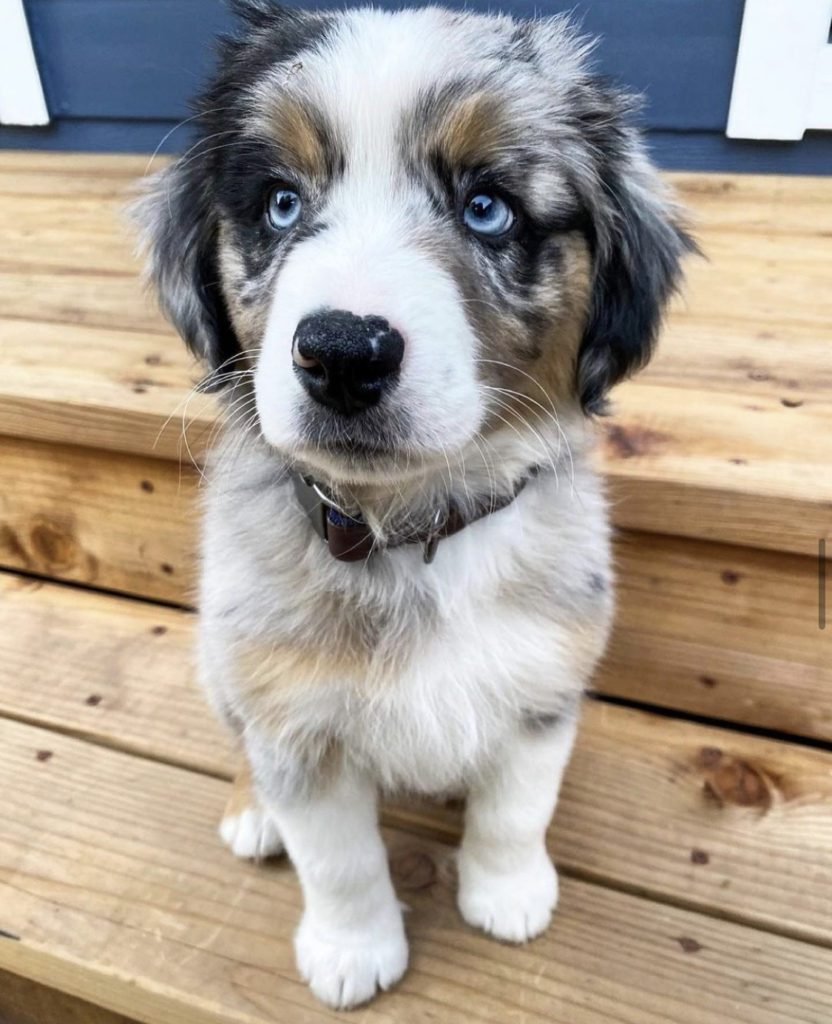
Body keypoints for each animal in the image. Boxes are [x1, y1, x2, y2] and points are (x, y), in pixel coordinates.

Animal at [136, 0, 692, 1007]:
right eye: (281, 203)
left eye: (487, 206)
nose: (342, 353)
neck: (411, 525)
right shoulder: (292, 719)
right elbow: (340, 860)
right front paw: (353, 951)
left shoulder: (545, 681)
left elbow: (515, 810)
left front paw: (507, 895)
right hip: (220, 667)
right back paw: (251, 812)